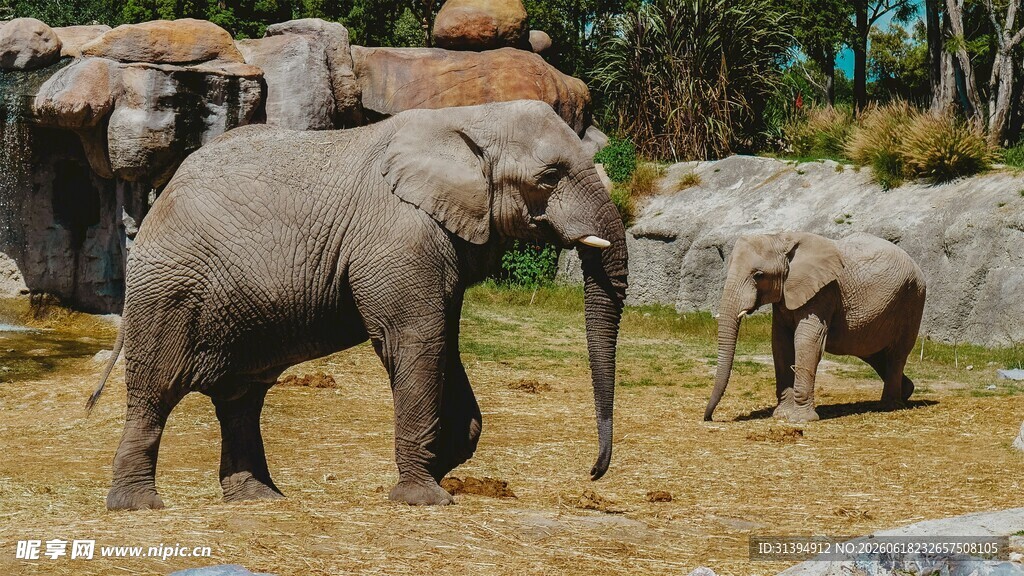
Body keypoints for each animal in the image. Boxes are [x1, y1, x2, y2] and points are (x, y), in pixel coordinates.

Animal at [87, 100, 628, 509]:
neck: (470, 118)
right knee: (156, 391)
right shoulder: (398, 235)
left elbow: (442, 345)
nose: (593, 473)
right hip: (168, 290)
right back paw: (139, 506)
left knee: (241, 398)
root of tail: (157, 203)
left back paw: (259, 499)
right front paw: (424, 497)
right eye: (550, 176)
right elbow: (415, 341)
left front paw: (439, 467)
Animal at [704, 231, 926, 423]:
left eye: (758, 275)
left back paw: (888, 405)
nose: (709, 418)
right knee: (871, 352)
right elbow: (780, 343)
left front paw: (800, 420)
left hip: (912, 298)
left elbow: (806, 341)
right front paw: (782, 415)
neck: (780, 237)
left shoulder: (823, 291)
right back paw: (906, 392)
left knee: (896, 353)